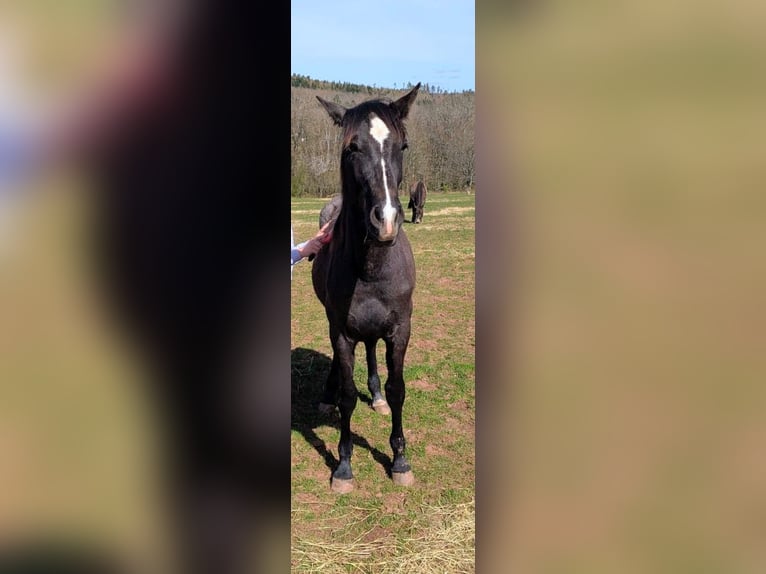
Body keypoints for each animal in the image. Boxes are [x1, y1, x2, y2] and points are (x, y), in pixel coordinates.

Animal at [311, 83, 420, 493]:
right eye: (351, 148)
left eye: (402, 146)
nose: (386, 220)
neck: (373, 270)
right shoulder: (341, 331)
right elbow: (346, 397)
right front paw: (343, 467)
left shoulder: (400, 329)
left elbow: (397, 388)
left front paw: (400, 460)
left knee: (373, 351)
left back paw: (374, 396)